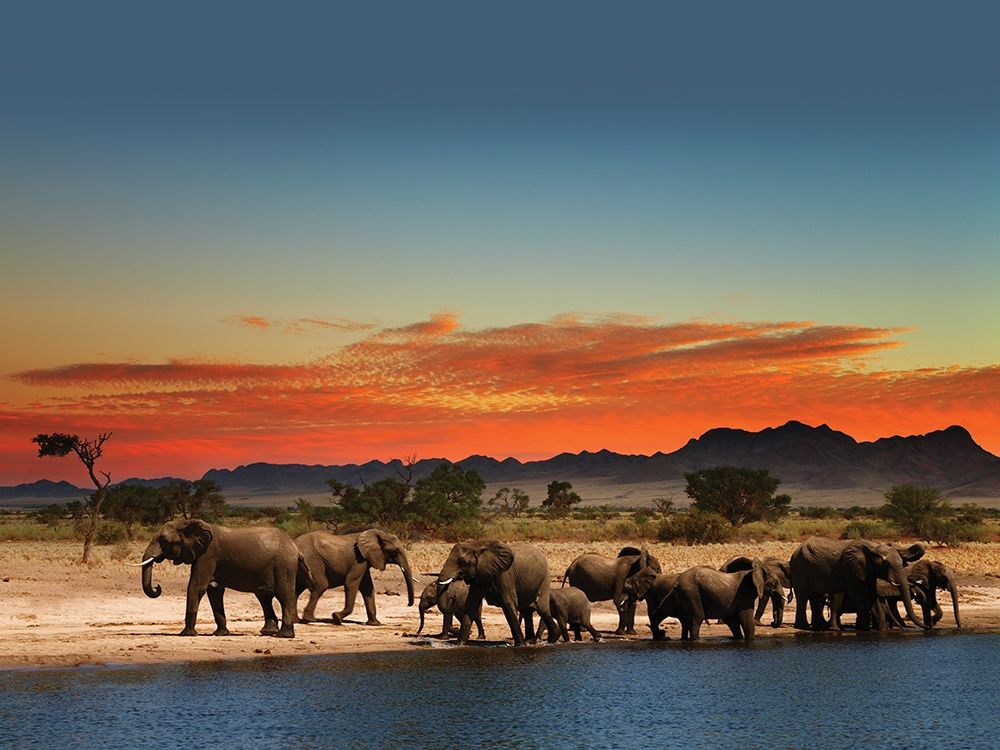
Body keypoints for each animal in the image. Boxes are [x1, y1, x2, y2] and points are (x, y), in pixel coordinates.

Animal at [139, 519, 313, 638]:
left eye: (163, 540)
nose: (157, 587)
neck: (187, 523)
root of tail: (296, 548)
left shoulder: (207, 556)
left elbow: (197, 587)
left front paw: (186, 634)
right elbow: (214, 591)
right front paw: (221, 634)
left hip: (284, 564)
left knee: (283, 595)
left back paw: (283, 635)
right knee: (264, 597)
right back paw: (267, 632)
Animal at [789, 537, 926, 632]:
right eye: (886, 564)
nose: (928, 627)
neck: (873, 546)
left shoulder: (868, 570)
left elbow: (871, 594)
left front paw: (874, 629)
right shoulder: (852, 569)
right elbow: (862, 595)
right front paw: (865, 629)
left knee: (815, 598)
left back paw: (817, 628)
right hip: (799, 568)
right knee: (803, 596)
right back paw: (803, 627)